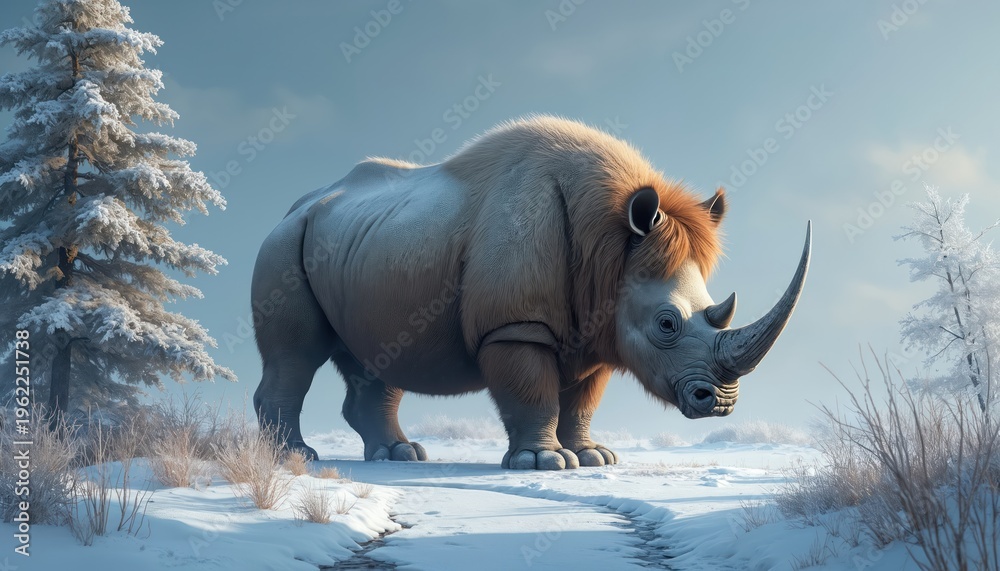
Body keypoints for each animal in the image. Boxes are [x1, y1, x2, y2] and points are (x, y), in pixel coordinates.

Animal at [251, 116, 810, 470]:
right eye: (667, 324)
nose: (720, 403)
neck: (610, 246)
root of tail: (293, 207)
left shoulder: (597, 328)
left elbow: (582, 400)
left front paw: (593, 458)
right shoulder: (515, 324)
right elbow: (531, 391)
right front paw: (543, 463)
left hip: (368, 248)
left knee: (377, 357)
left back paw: (400, 456)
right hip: (284, 245)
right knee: (296, 355)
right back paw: (294, 457)